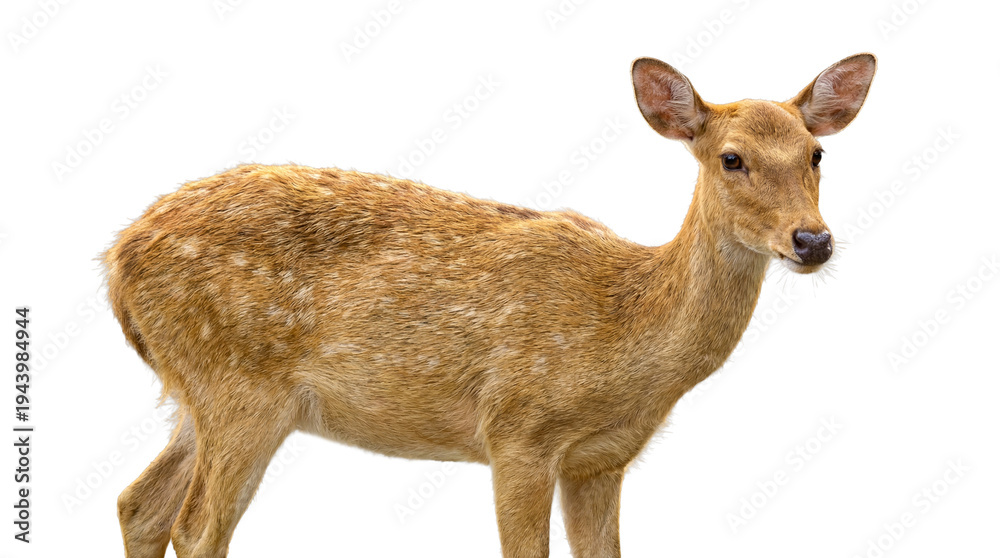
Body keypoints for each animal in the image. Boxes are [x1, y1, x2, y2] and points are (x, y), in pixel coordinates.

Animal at [104, 53, 876, 558]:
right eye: (731, 158)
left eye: (816, 155)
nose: (813, 240)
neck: (627, 337)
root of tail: (117, 261)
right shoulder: (517, 428)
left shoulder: (601, 460)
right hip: (239, 385)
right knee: (196, 528)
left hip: (198, 392)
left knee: (140, 504)